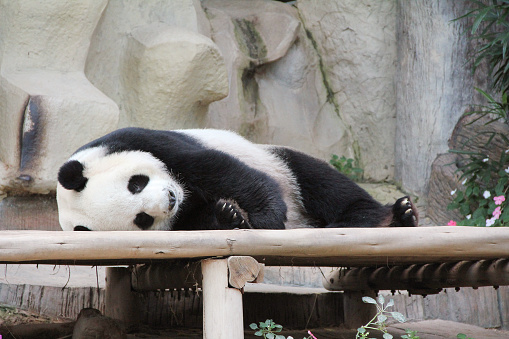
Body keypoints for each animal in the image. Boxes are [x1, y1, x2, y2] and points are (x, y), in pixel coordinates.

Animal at [56, 129, 416, 232]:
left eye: (136, 183)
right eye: (141, 219)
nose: (170, 199)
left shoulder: (140, 140)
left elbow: (219, 169)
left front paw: (264, 218)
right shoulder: (178, 221)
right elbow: (198, 223)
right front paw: (229, 216)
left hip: (278, 159)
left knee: (321, 182)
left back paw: (385, 216)